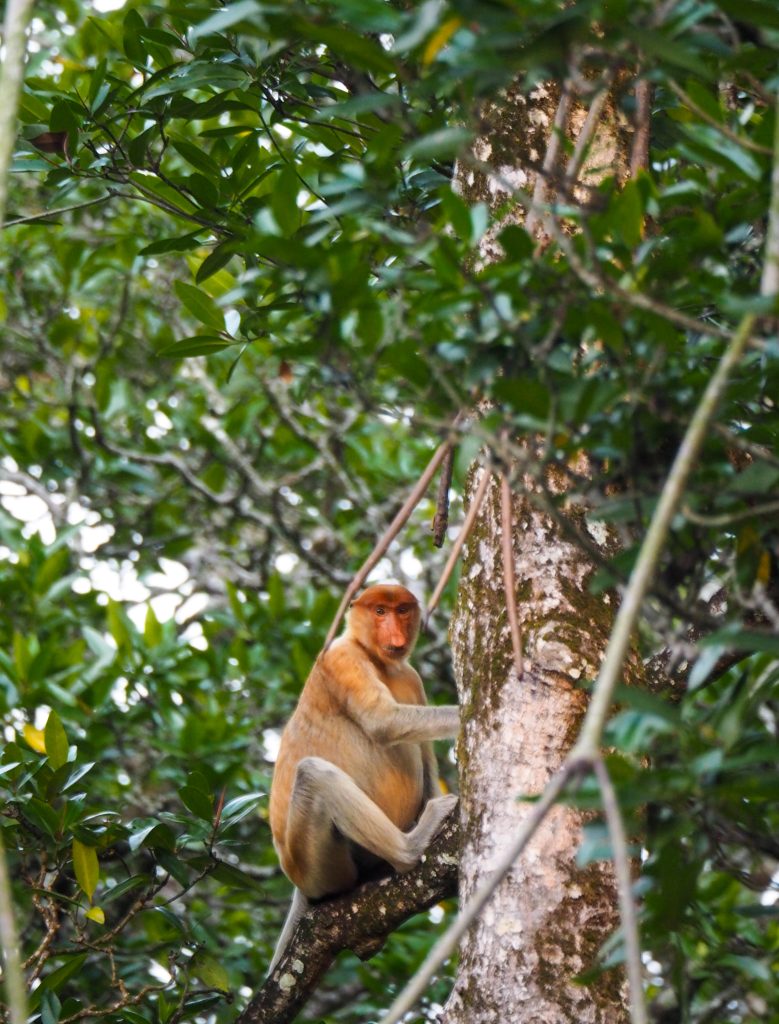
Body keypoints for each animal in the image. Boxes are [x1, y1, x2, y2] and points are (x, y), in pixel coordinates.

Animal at [267, 583, 459, 972]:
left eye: (402, 610)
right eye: (380, 612)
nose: (395, 634)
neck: (379, 661)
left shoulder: (411, 678)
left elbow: (426, 759)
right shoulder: (341, 659)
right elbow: (383, 721)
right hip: (315, 865)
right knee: (313, 774)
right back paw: (409, 847)